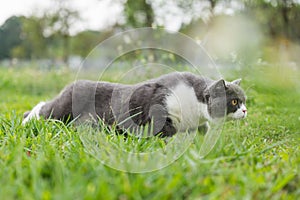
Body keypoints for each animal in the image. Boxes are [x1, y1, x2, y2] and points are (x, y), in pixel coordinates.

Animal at [22, 71, 246, 137]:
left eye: (244, 101)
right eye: (234, 101)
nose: (245, 110)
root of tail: (72, 84)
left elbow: (203, 128)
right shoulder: (161, 103)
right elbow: (165, 128)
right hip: (63, 109)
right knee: (44, 108)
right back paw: (26, 120)